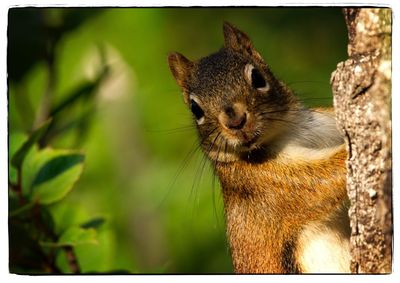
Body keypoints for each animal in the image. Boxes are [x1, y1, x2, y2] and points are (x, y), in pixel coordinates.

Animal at [167, 22, 348, 276]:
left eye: (257, 77)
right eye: (195, 108)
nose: (235, 121)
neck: (285, 135)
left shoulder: (324, 124)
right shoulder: (272, 188)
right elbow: (324, 180)